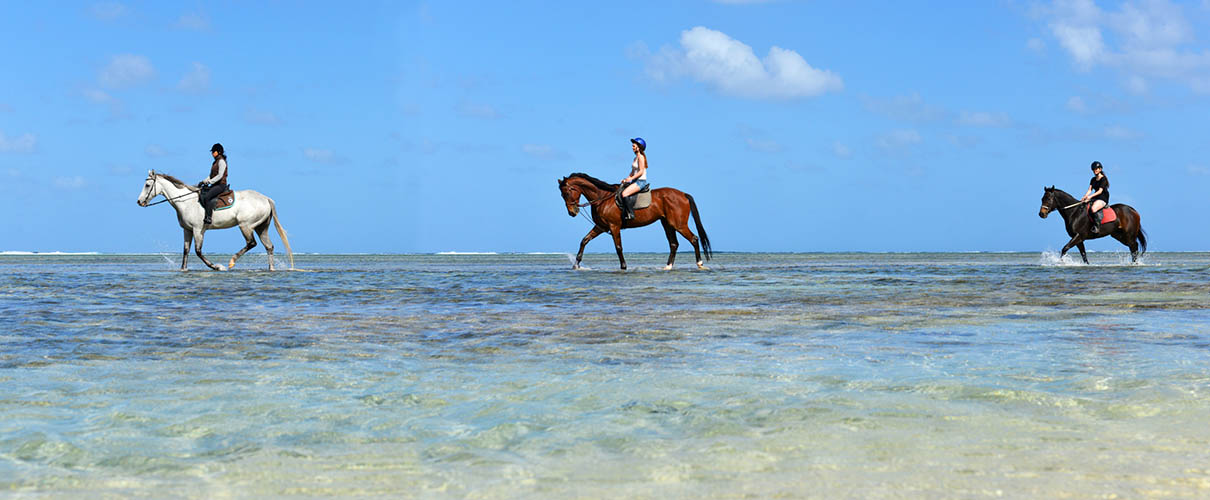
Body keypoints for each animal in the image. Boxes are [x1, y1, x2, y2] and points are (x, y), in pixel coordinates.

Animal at [135, 169, 292, 271]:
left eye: (147, 185)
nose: (140, 202)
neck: (186, 202)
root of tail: (266, 198)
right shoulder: (187, 230)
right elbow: (186, 250)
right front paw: (183, 269)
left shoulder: (198, 230)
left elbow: (198, 251)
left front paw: (216, 266)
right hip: (261, 227)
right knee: (269, 246)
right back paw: (271, 268)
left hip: (245, 225)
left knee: (251, 243)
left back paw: (231, 262)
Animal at [556, 173, 706, 271]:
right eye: (562, 195)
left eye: (567, 193)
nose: (572, 212)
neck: (602, 198)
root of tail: (683, 194)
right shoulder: (601, 226)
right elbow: (584, 240)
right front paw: (576, 264)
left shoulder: (614, 226)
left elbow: (618, 247)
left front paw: (623, 266)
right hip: (667, 224)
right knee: (674, 244)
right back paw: (668, 267)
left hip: (678, 225)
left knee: (694, 239)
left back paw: (699, 263)